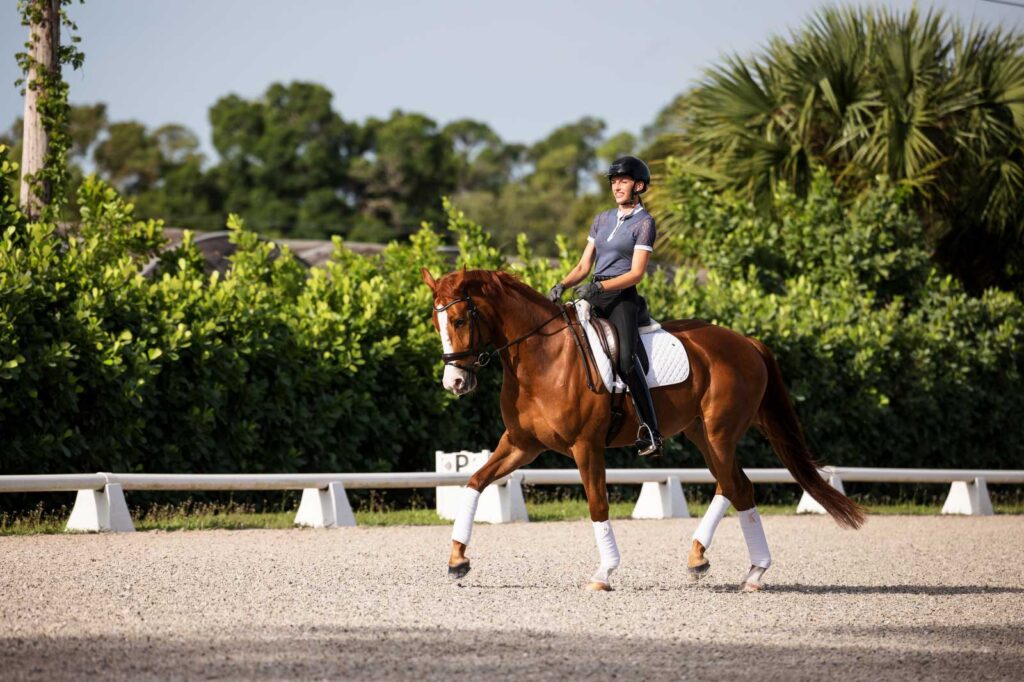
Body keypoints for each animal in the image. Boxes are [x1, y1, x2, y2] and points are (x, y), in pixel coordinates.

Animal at [421, 267, 865, 592]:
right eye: (435, 323)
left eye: (459, 319)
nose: (454, 383)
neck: (542, 356)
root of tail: (747, 343)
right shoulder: (520, 445)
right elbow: (475, 482)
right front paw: (457, 559)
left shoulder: (586, 446)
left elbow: (597, 505)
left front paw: (604, 573)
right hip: (702, 435)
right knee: (730, 484)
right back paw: (701, 557)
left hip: (719, 434)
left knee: (739, 487)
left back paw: (755, 571)